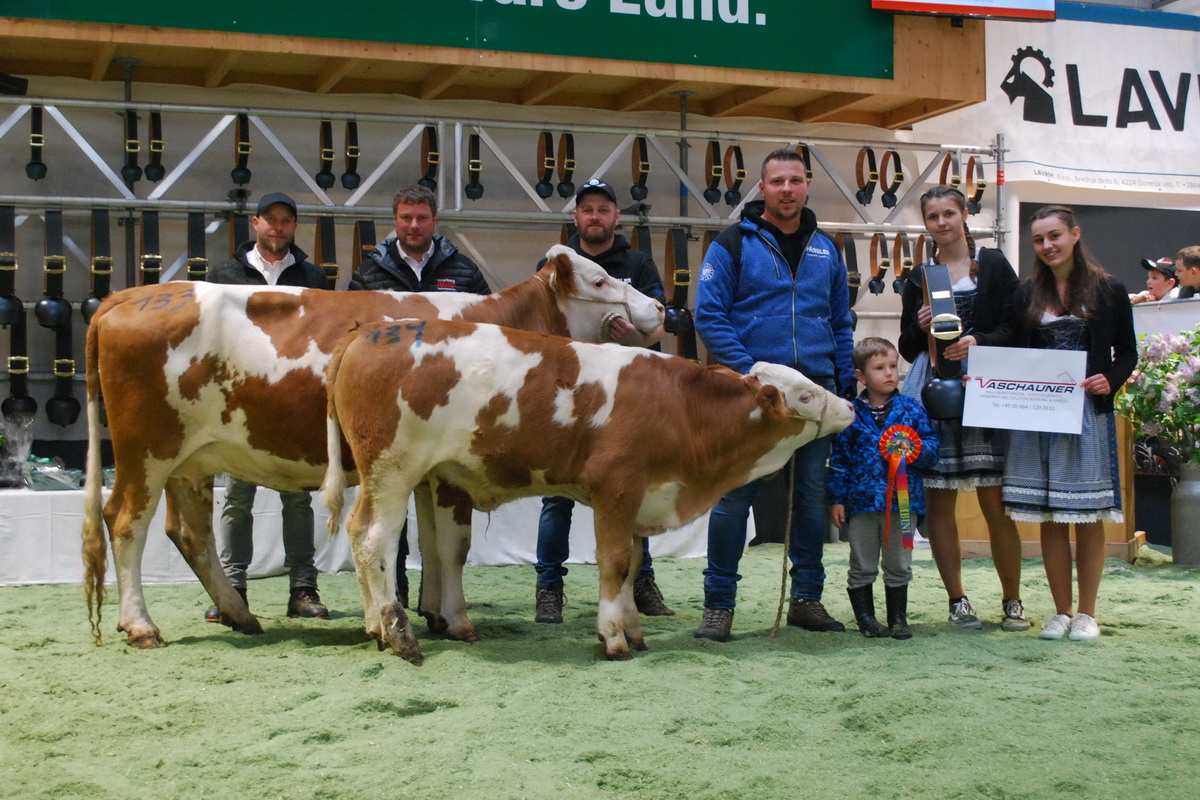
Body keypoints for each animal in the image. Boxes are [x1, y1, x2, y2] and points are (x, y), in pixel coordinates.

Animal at [82, 245, 667, 652]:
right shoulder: (450, 471)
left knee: (189, 532)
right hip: (145, 451)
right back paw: (141, 624)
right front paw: (456, 621)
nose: (660, 306)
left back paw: (240, 615)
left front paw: (432, 613)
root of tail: (127, 296)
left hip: (190, 461)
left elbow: (431, 544)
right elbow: (453, 546)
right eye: (599, 279)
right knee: (126, 522)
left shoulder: (430, 471)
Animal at [324, 319, 859, 662]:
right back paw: (398, 635)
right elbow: (615, 562)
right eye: (806, 394)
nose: (850, 406)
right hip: (394, 469)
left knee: (366, 532)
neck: (679, 408)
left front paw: (635, 632)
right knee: (374, 541)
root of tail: (365, 334)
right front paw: (613, 638)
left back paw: (380, 627)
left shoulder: (642, 496)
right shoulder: (615, 488)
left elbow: (634, 565)